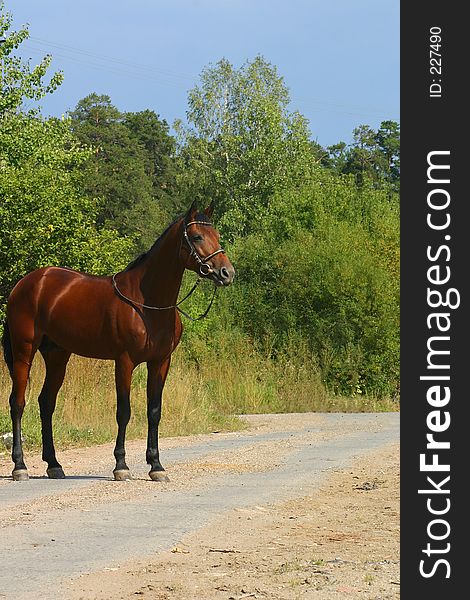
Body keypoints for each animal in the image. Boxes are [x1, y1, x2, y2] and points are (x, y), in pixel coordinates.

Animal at [0, 204, 235, 480]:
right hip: (24, 351)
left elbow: (154, 412)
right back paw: (20, 466)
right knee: (17, 403)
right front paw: (121, 466)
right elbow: (124, 411)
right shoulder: (124, 361)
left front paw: (156, 466)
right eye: (197, 237)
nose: (226, 273)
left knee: (46, 403)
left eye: (217, 235)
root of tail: (25, 284)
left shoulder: (160, 362)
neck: (147, 304)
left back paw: (54, 465)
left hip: (57, 355)